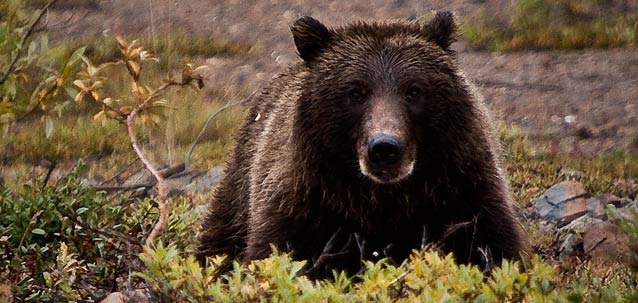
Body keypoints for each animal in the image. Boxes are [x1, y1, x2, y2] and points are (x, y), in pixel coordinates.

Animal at [198, 11, 524, 278]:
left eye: (414, 90)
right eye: (355, 91)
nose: (385, 148)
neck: (380, 199)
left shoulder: (462, 188)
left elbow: (494, 249)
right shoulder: (303, 202)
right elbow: (275, 254)